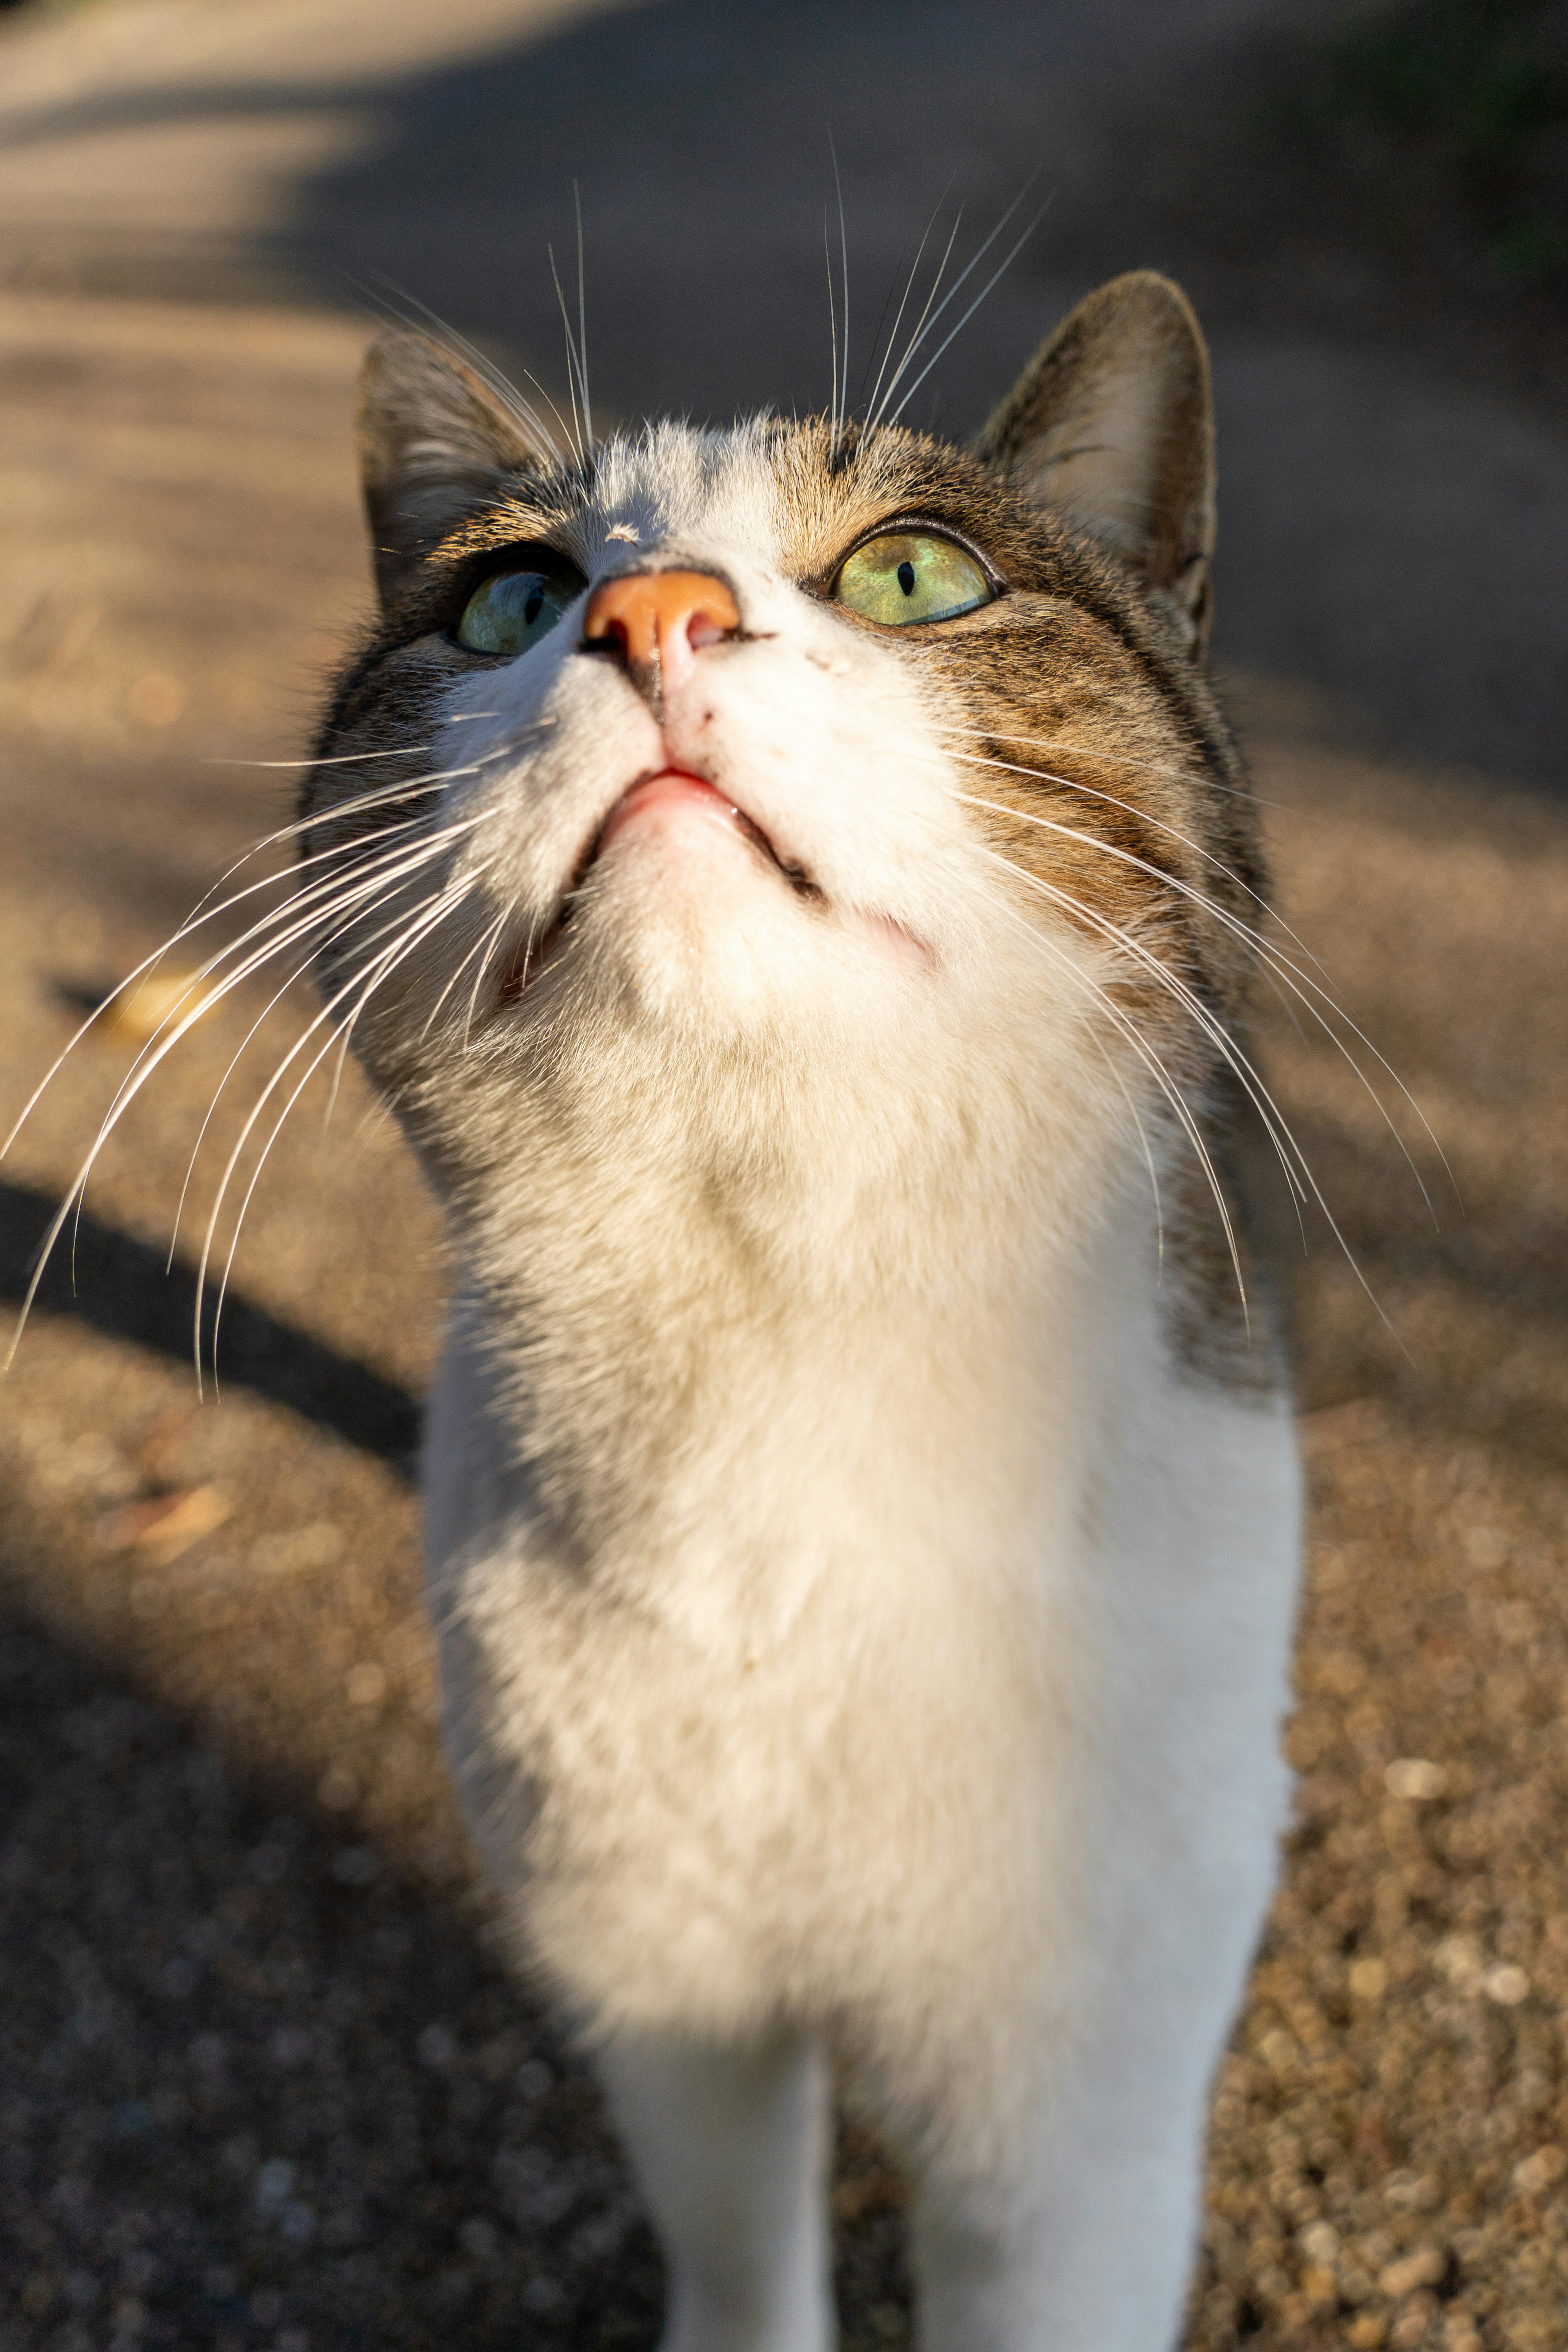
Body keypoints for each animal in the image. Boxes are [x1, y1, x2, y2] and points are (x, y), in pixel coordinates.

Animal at [301, 275, 1307, 2352]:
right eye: (507, 599)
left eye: (917, 572)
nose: (650, 613)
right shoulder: (664, 1981)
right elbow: (737, 2241)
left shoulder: (1070, 2098)